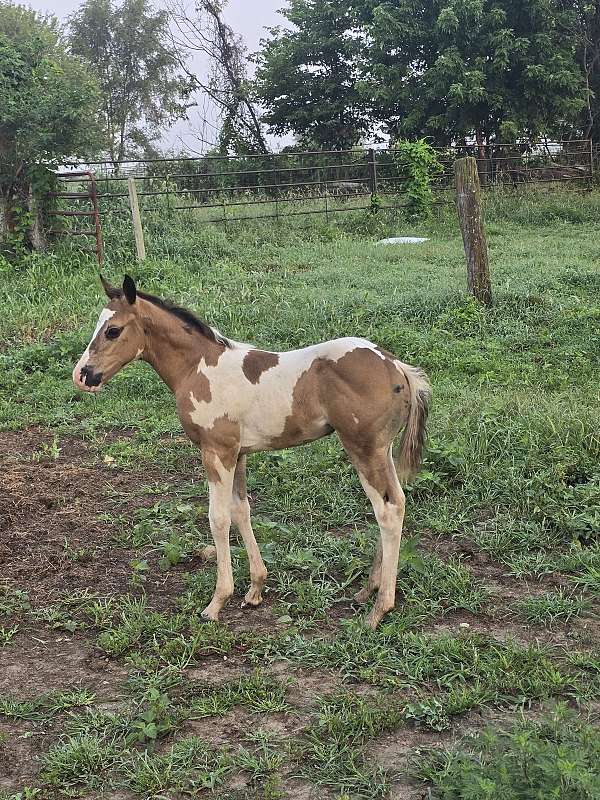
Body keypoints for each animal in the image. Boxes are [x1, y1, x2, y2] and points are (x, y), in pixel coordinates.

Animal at [72, 275, 430, 628]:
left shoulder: (217, 452)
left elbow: (217, 519)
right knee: (397, 501)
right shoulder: (239, 454)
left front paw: (217, 602)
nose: (83, 375)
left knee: (386, 511)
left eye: (113, 330)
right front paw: (255, 589)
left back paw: (379, 609)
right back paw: (367, 590)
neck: (199, 369)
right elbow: (241, 510)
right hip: (382, 451)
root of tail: (396, 366)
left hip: (362, 448)